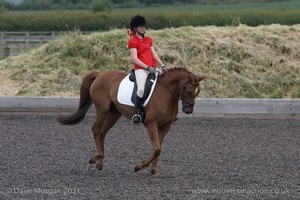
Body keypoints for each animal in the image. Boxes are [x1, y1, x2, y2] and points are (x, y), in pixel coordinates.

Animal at [57, 67, 205, 177]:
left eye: (198, 92)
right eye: (190, 90)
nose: (188, 111)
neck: (165, 94)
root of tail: (100, 75)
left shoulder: (165, 127)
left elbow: (158, 148)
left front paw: (153, 171)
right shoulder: (151, 124)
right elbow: (157, 149)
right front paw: (138, 166)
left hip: (114, 114)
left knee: (102, 133)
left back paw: (100, 162)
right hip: (102, 110)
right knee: (96, 130)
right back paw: (96, 158)